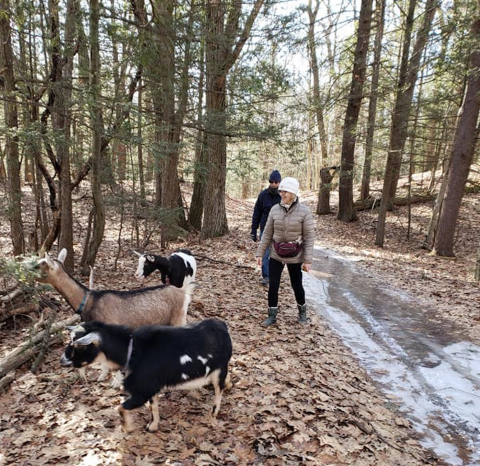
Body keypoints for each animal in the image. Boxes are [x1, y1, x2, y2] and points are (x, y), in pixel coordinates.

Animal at [61, 320, 233, 434]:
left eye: (77, 344)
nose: (62, 359)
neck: (132, 351)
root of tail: (222, 325)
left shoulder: (142, 391)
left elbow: (120, 407)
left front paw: (127, 427)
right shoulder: (151, 387)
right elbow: (153, 406)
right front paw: (153, 426)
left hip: (220, 368)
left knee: (219, 390)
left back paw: (214, 412)